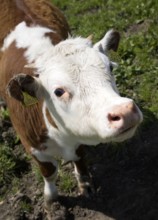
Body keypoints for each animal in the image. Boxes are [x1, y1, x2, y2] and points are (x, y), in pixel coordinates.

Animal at [0, 0, 143, 214]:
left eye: (110, 67)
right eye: (58, 91)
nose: (125, 112)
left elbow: (80, 157)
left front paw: (85, 184)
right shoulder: (32, 146)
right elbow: (49, 172)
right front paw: (51, 199)